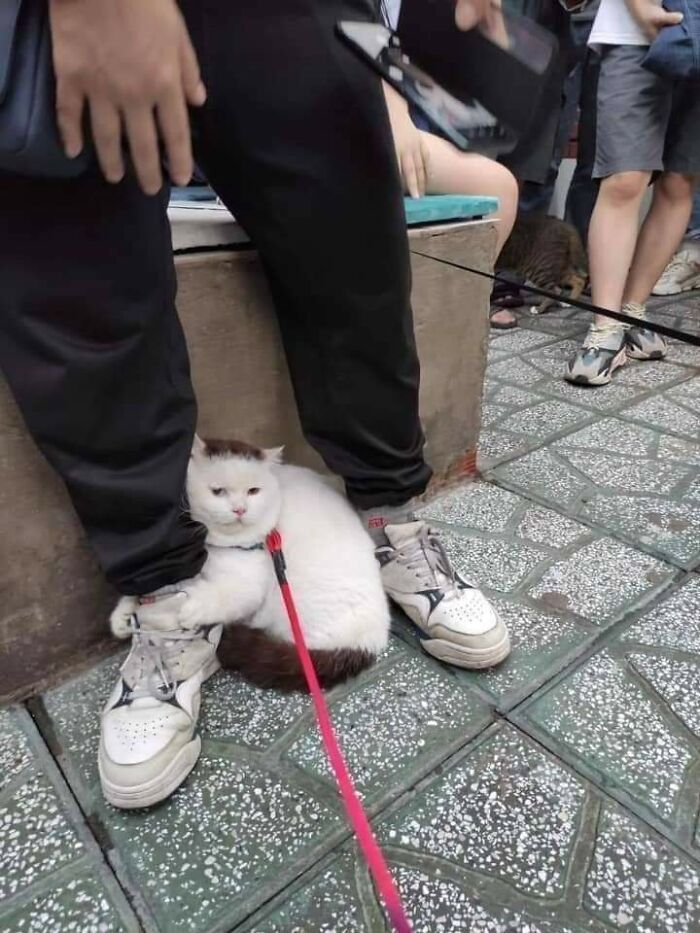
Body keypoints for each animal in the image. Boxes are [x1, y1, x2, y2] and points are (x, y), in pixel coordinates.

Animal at [112, 438, 392, 692]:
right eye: (217, 491)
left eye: (253, 491)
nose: (239, 509)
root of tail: (368, 643)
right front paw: (123, 615)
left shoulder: (249, 586)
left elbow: (218, 597)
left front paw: (185, 609)